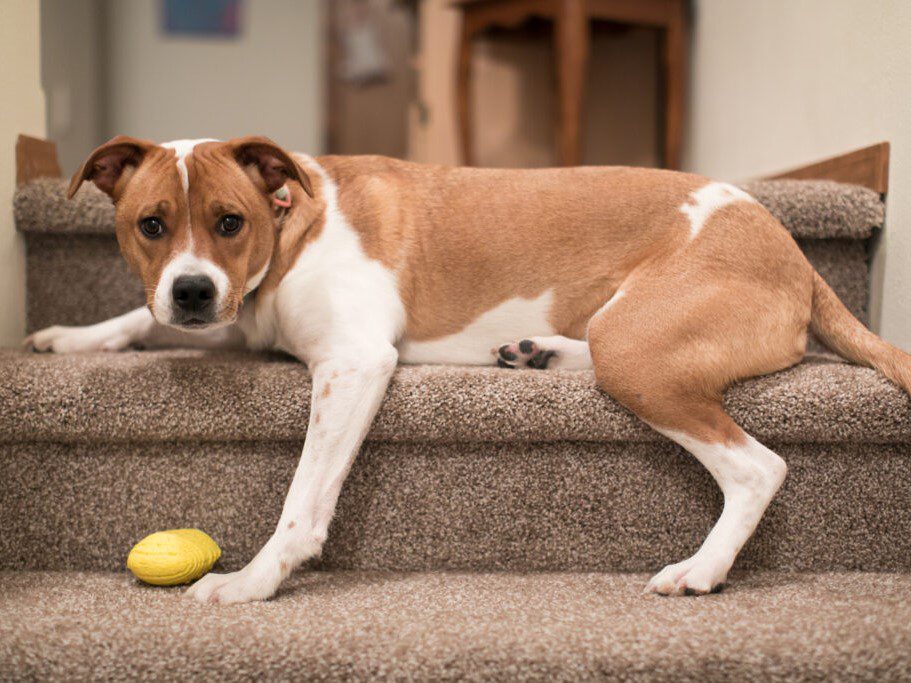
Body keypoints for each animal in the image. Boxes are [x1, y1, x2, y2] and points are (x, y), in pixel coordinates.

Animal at [26, 138, 911, 604]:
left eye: (228, 221)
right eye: (150, 225)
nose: (193, 289)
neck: (288, 226)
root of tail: (792, 251)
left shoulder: (352, 363)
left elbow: (302, 498)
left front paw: (251, 580)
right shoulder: (231, 312)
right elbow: (142, 316)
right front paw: (75, 334)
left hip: (639, 350)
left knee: (758, 466)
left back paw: (703, 568)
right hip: (623, 335)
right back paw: (535, 351)